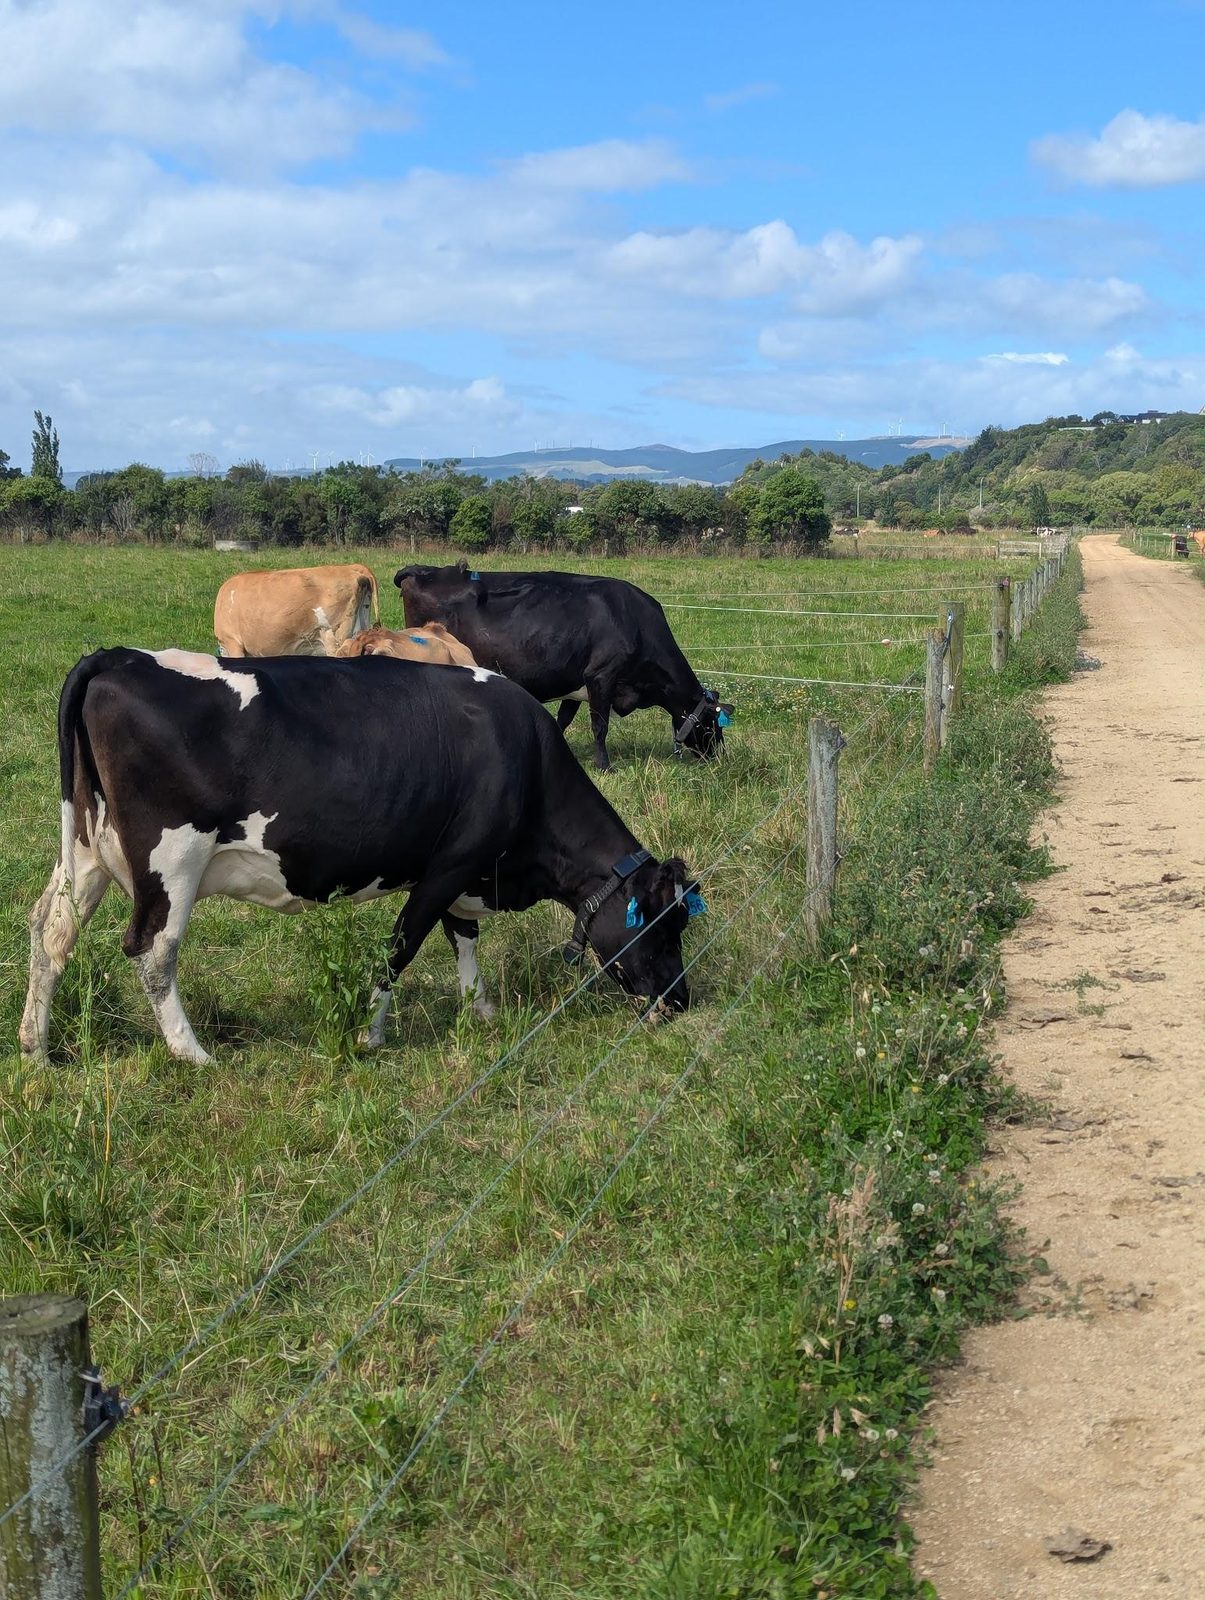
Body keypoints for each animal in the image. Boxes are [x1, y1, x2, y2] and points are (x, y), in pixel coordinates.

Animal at [20, 649, 699, 1068]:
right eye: (667, 928)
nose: (682, 1002)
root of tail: (119, 657)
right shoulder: (450, 862)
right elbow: (402, 945)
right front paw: (371, 1034)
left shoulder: (465, 871)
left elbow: (462, 934)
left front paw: (479, 1008)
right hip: (173, 857)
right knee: (153, 950)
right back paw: (193, 1054)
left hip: (87, 849)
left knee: (50, 929)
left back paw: (35, 1048)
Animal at [394, 562, 732, 770]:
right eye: (712, 724)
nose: (717, 757)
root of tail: (422, 569)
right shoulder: (602, 676)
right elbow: (600, 725)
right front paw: (605, 766)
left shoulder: (576, 684)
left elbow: (563, 720)